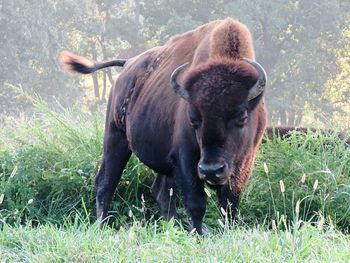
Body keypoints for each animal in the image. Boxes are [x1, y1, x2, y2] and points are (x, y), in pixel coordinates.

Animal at [60, 17, 268, 234]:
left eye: (242, 116)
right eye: (193, 119)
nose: (211, 170)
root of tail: (127, 65)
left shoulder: (244, 161)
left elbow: (229, 203)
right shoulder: (185, 158)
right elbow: (196, 202)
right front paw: (198, 234)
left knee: (160, 191)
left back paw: (172, 226)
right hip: (115, 138)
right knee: (105, 182)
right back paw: (102, 225)